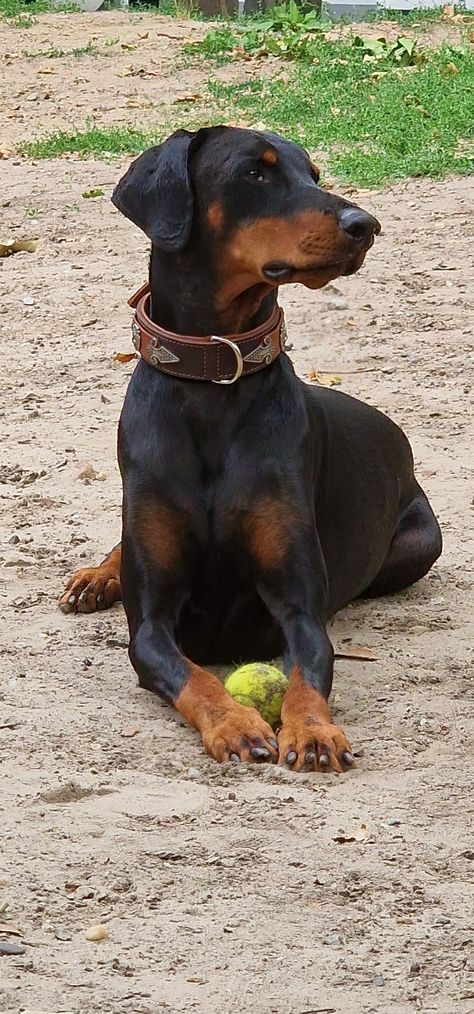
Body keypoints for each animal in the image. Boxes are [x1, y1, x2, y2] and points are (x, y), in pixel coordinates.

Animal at [59, 128, 442, 774]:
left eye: (313, 173)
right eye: (255, 174)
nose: (365, 223)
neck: (214, 382)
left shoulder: (299, 610)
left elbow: (306, 677)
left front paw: (312, 732)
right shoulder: (151, 623)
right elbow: (194, 677)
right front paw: (235, 724)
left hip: (422, 543)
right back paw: (97, 576)